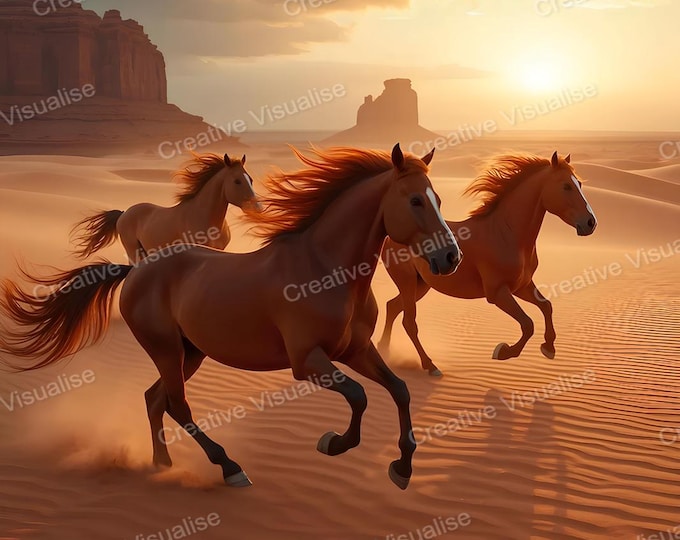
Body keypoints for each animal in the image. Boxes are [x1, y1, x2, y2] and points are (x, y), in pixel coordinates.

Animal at [377, 152, 597, 376]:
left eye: (579, 183)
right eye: (566, 186)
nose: (590, 223)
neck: (505, 233)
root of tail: (389, 235)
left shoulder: (522, 286)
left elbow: (546, 306)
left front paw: (549, 347)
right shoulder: (497, 293)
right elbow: (528, 324)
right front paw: (503, 351)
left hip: (421, 286)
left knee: (392, 306)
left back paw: (384, 349)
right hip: (407, 282)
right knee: (408, 322)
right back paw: (430, 366)